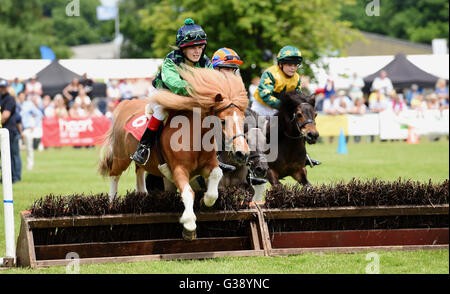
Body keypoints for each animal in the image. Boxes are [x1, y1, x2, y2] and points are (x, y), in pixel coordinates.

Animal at [97, 66, 250, 239]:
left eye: (243, 119)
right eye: (223, 121)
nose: (242, 153)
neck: (195, 136)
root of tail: (126, 103)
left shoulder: (209, 165)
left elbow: (216, 179)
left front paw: (205, 201)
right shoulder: (178, 169)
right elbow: (188, 192)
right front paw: (189, 224)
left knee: (139, 170)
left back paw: (142, 194)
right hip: (121, 157)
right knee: (114, 175)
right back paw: (112, 204)